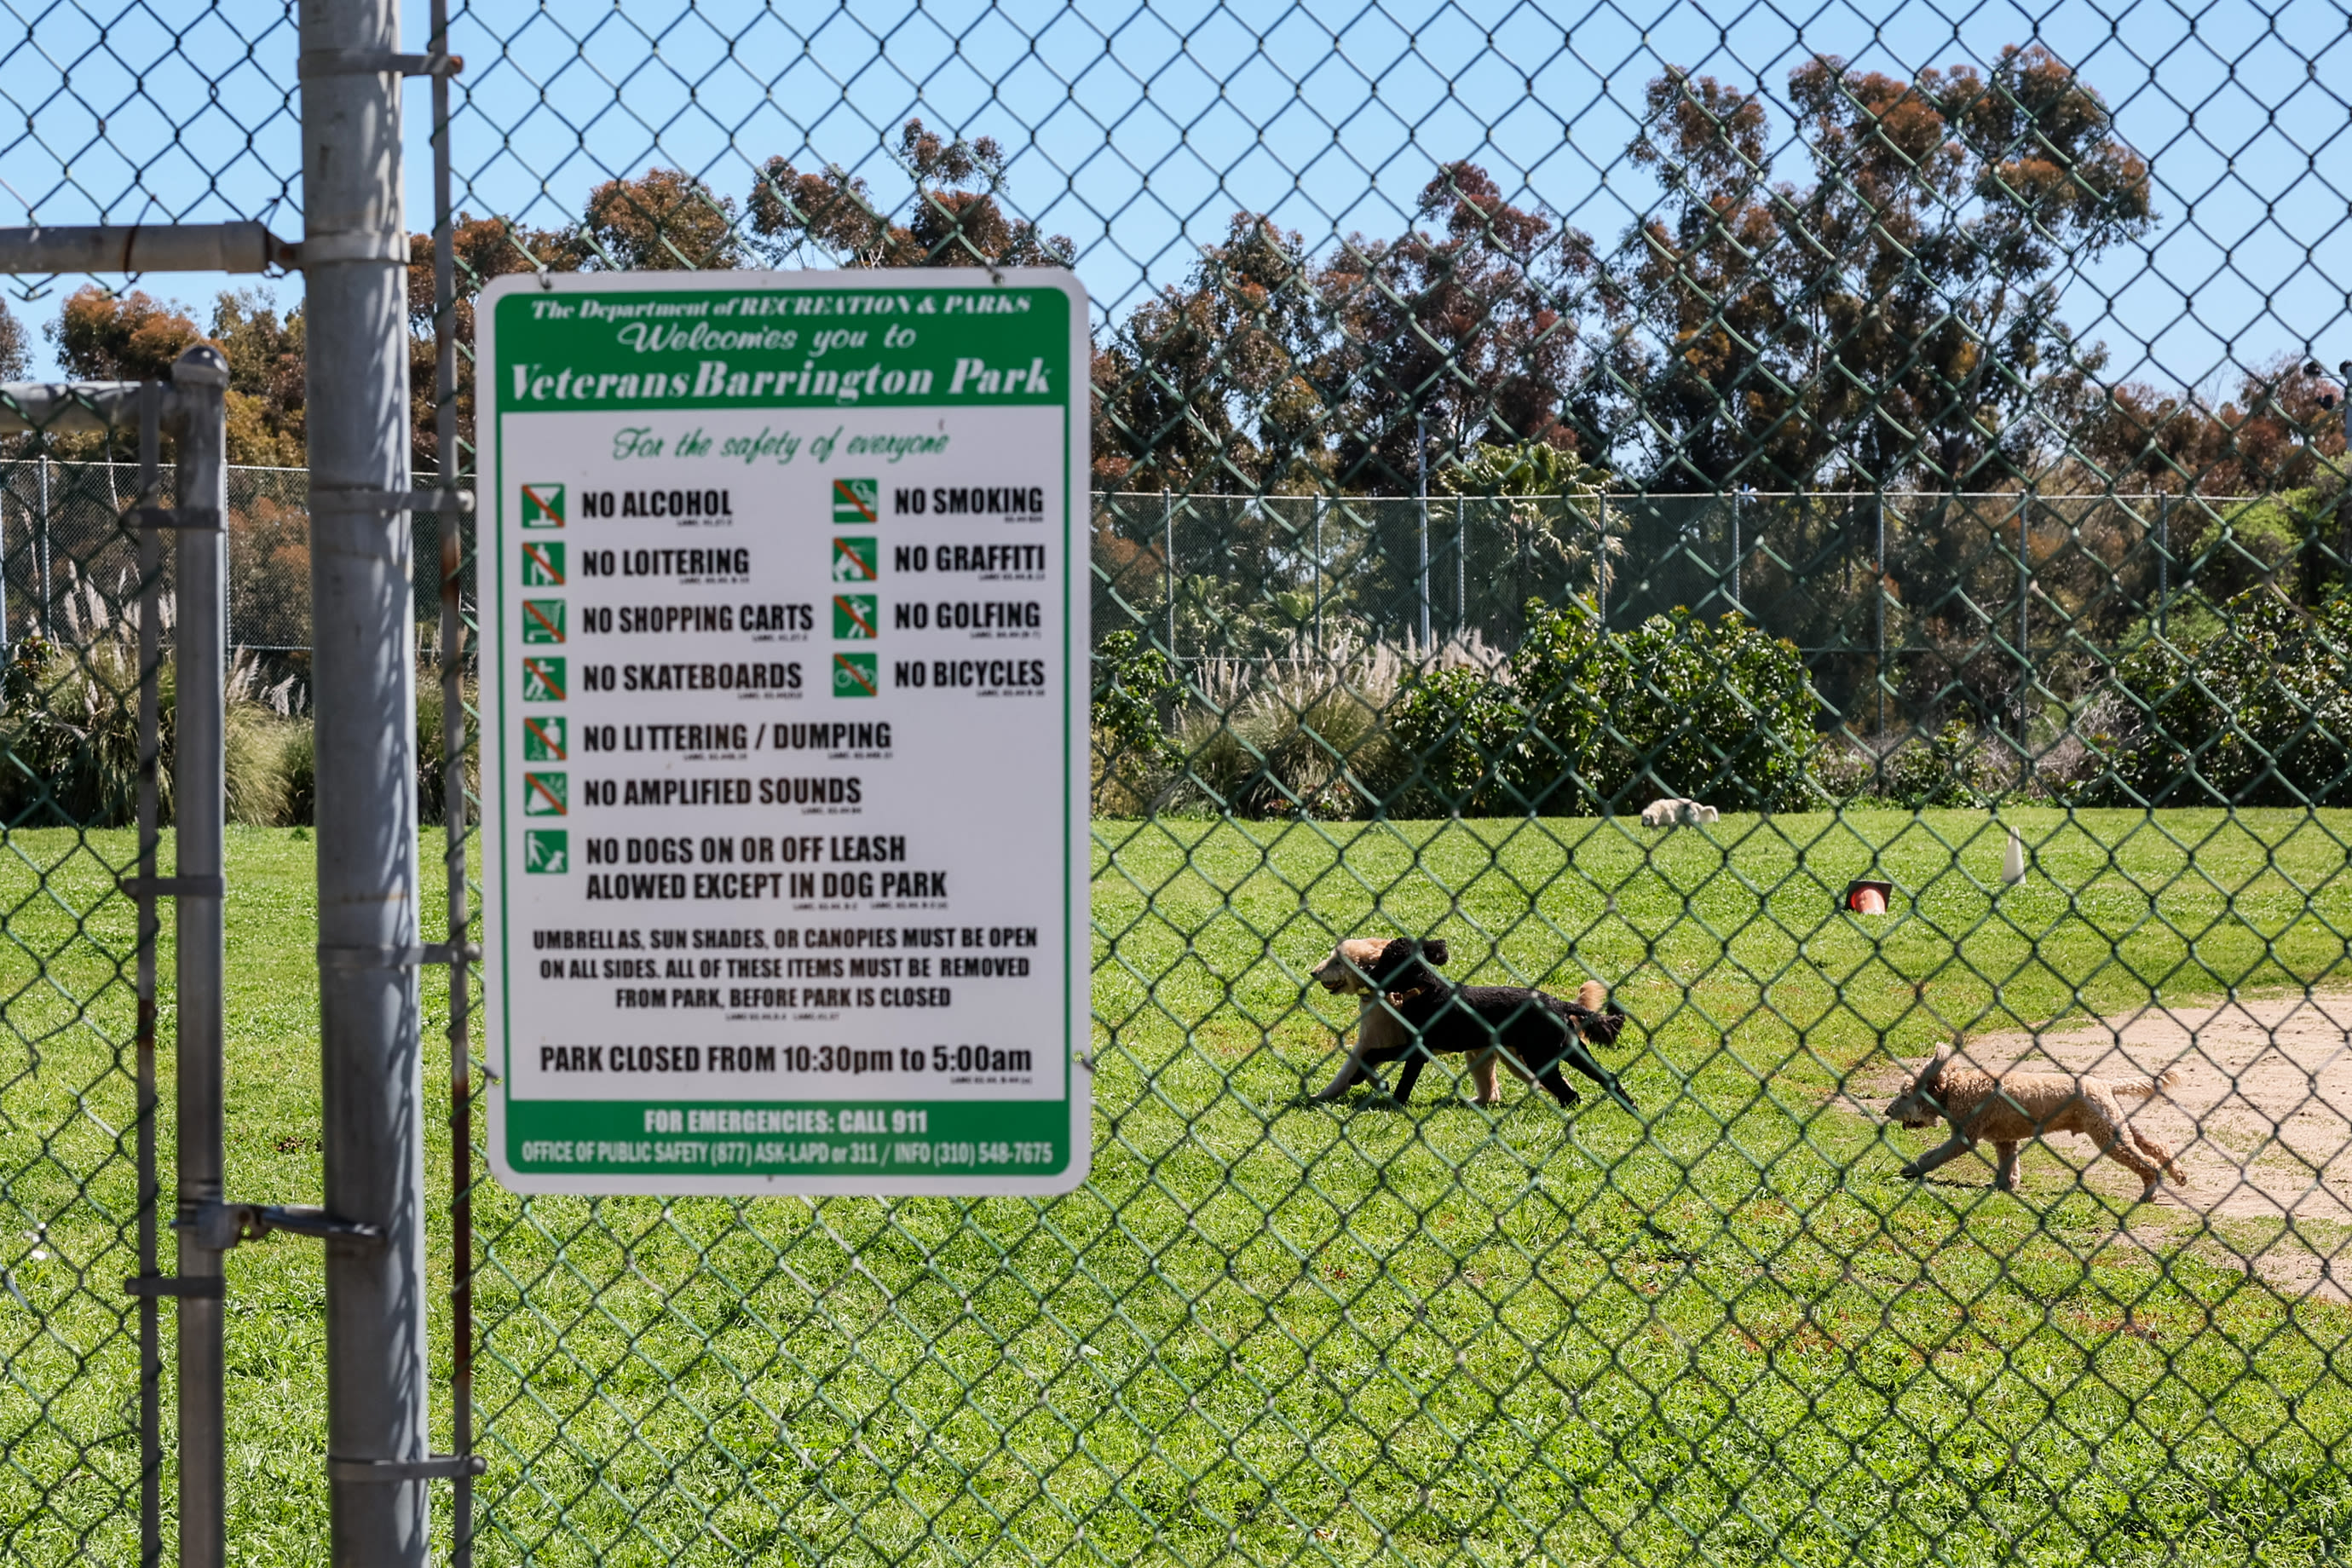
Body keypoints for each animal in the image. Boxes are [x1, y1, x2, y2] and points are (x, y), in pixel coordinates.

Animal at [1326, 940, 1636, 1110]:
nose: (1368, 971)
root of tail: (1558, 1003)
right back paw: (1630, 1106)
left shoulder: (1417, 1049)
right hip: (1570, 1051)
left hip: (1540, 1059)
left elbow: (1383, 1061)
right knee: (1603, 1079)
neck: (1426, 991)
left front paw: (1374, 1087)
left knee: (1570, 1095)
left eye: (1387, 961)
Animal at [1871, 1052, 2182, 1203]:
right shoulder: (2005, 1140)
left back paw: (2150, 1192)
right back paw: (2178, 1175)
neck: (1956, 1089)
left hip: (2106, 1133)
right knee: (2156, 1147)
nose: (1886, 1110)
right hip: (2117, 1124)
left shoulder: (1965, 1136)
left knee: (2147, 1161)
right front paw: (2004, 1185)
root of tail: (2106, 1083)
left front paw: (1911, 1169)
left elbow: (1934, 1156)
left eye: (1904, 1094)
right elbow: (2008, 1164)